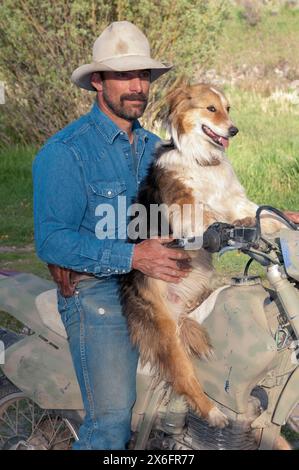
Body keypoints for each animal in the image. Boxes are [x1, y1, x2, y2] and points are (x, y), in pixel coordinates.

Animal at [119, 82, 284, 428]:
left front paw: (283, 221)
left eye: (228, 108)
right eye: (211, 109)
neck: (203, 160)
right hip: (168, 337)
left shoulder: (234, 200)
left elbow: (262, 214)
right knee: (185, 381)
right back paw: (214, 414)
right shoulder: (188, 208)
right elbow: (210, 222)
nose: (234, 130)